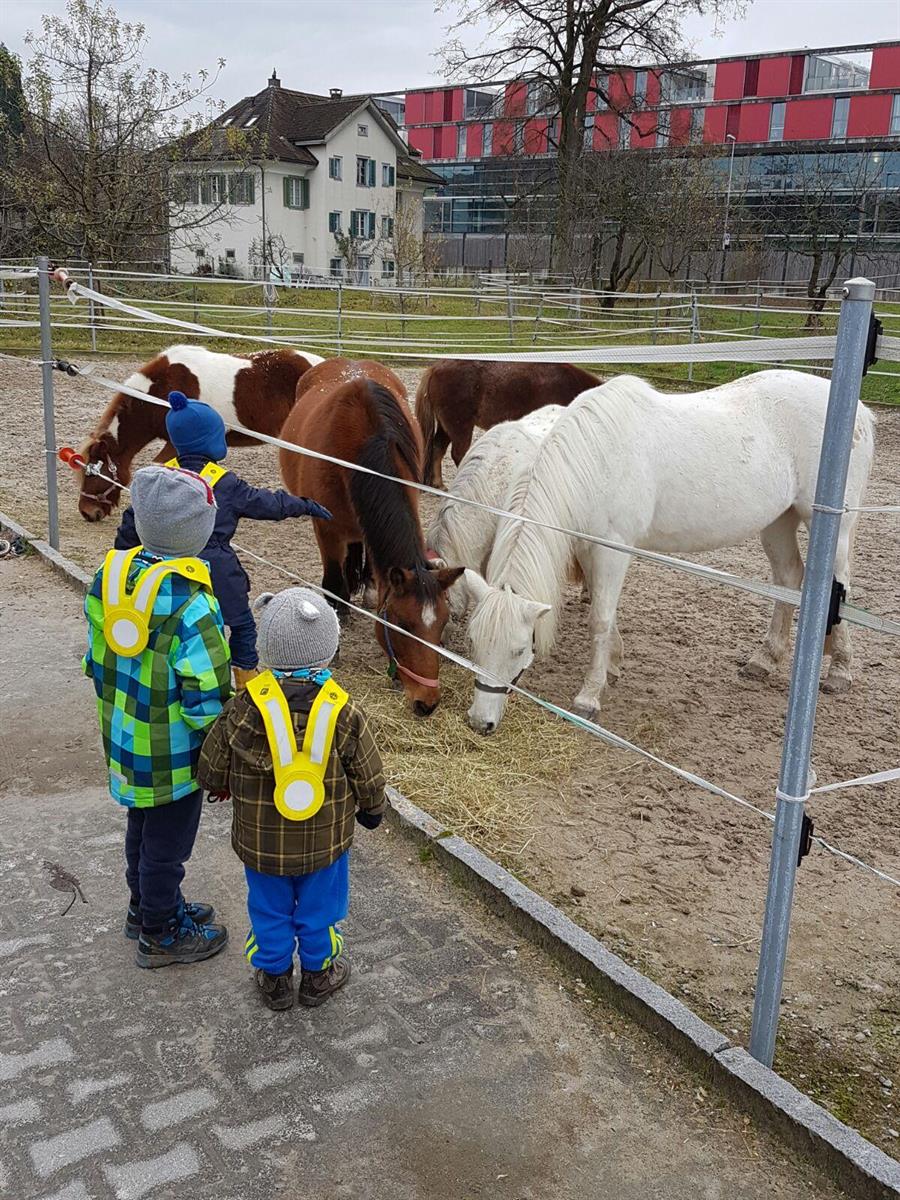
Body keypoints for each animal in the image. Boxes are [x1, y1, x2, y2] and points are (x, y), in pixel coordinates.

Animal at [468, 369, 878, 734]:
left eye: (519, 649)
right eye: (473, 642)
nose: (480, 722)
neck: (596, 459)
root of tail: (860, 412)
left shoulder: (612, 549)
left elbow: (599, 618)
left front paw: (588, 697)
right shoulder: (588, 547)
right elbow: (605, 612)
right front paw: (614, 664)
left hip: (833, 528)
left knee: (839, 588)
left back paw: (840, 670)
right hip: (778, 521)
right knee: (789, 578)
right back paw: (765, 660)